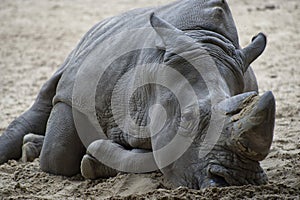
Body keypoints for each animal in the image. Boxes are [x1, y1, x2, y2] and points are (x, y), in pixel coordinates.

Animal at [0, 0, 274, 189]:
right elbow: (58, 156)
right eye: (187, 120)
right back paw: (28, 148)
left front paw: (96, 158)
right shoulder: (74, 96)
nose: (238, 179)